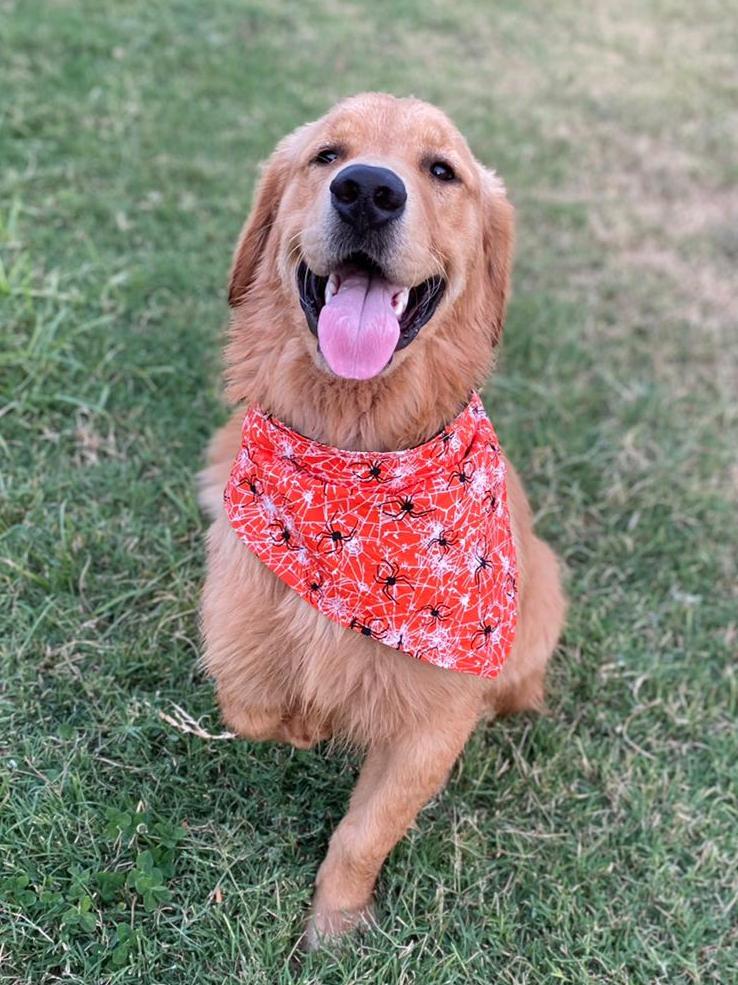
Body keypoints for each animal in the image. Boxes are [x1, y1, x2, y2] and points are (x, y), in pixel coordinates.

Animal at [197, 92, 564, 944]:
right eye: (328, 155)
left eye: (442, 170)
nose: (368, 191)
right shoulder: (231, 616)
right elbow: (251, 703)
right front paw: (308, 724)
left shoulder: (436, 720)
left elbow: (364, 833)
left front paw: (334, 926)